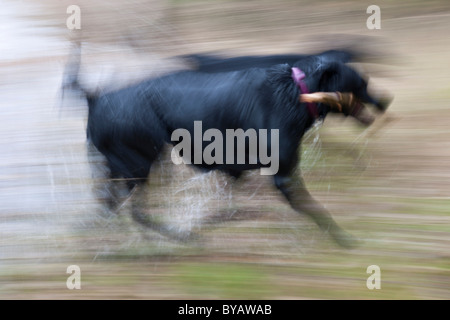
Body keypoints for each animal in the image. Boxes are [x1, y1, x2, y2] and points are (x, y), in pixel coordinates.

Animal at [66, 49, 390, 248]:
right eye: (362, 82)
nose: (386, 101)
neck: (296, 91)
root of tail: (94, 97)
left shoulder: (233, 169)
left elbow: (230, 206)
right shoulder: (284, 175)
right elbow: (317, 210)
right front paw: (344, 239)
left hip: (131, 163)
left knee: (110, 205)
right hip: (141, 161)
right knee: (133, 211)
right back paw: (180, 237)